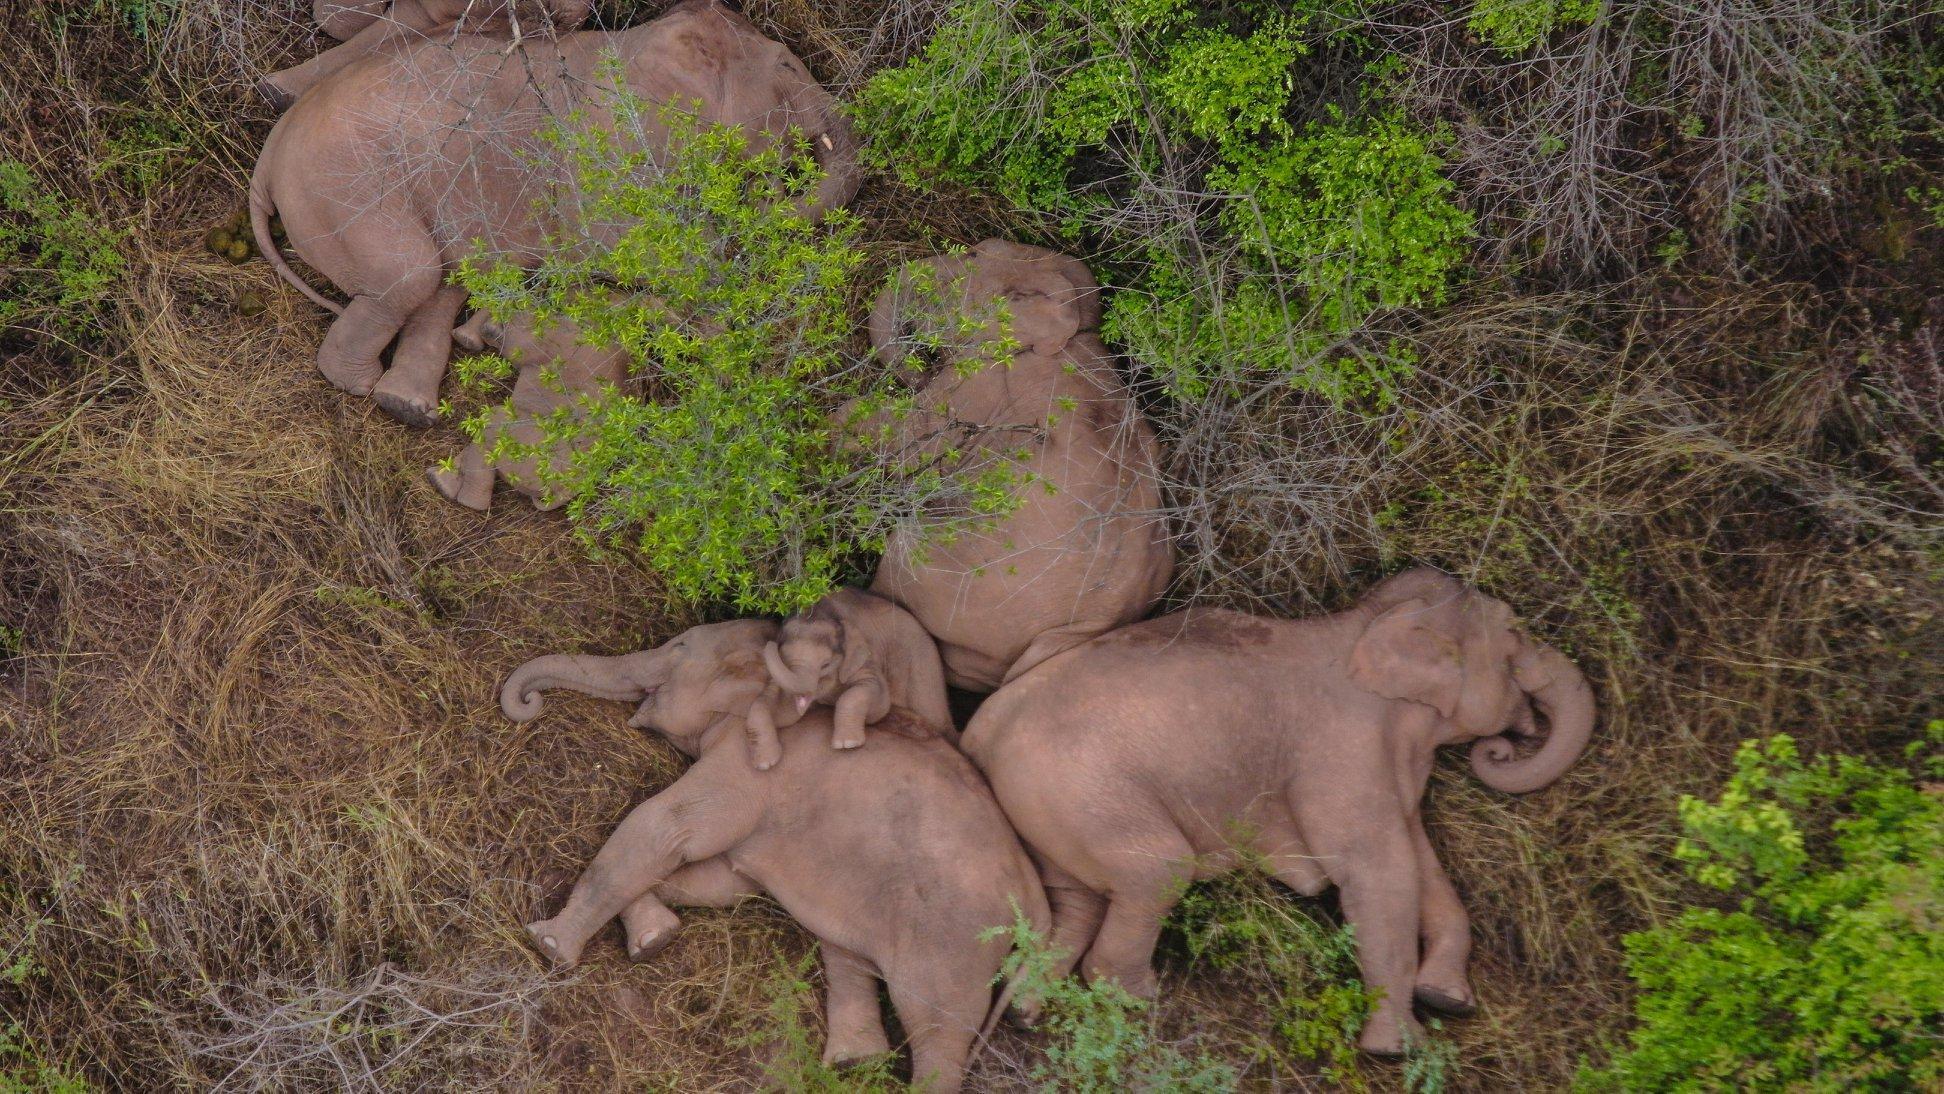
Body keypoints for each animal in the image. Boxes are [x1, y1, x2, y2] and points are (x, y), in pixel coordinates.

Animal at [500, 619, 1049, 1092]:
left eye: (678, 648)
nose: (530, 701)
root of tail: (1036, 902)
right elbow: (723, 881)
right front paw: (655, 939)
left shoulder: (750, 765)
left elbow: (666, 826)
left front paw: (549, 945)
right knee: (846, 949)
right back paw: (854, 1062)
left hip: (953, 942)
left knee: (936, 1027)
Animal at [745, 587, 955, 769]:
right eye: (784, 659)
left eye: (826, 665)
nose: (770, 644)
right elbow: (775, 708)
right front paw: (764, 764)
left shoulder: (866, 656)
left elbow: (877, 700)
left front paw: (847, 744)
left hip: (923, 671)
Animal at [959, 567, 1597, 1055]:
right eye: (1514, 632)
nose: (1503, 748)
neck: (1364, 623)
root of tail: (979, 731)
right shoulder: (1340, 749)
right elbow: (1376, 869)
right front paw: (1401, 1050)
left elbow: (1421, 862)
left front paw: (1447, 999)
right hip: (1077, 787)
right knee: (1158, 870)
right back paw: (1136, 998)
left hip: (1051, 809)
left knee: (1079, 900)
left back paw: (1026, 1014)